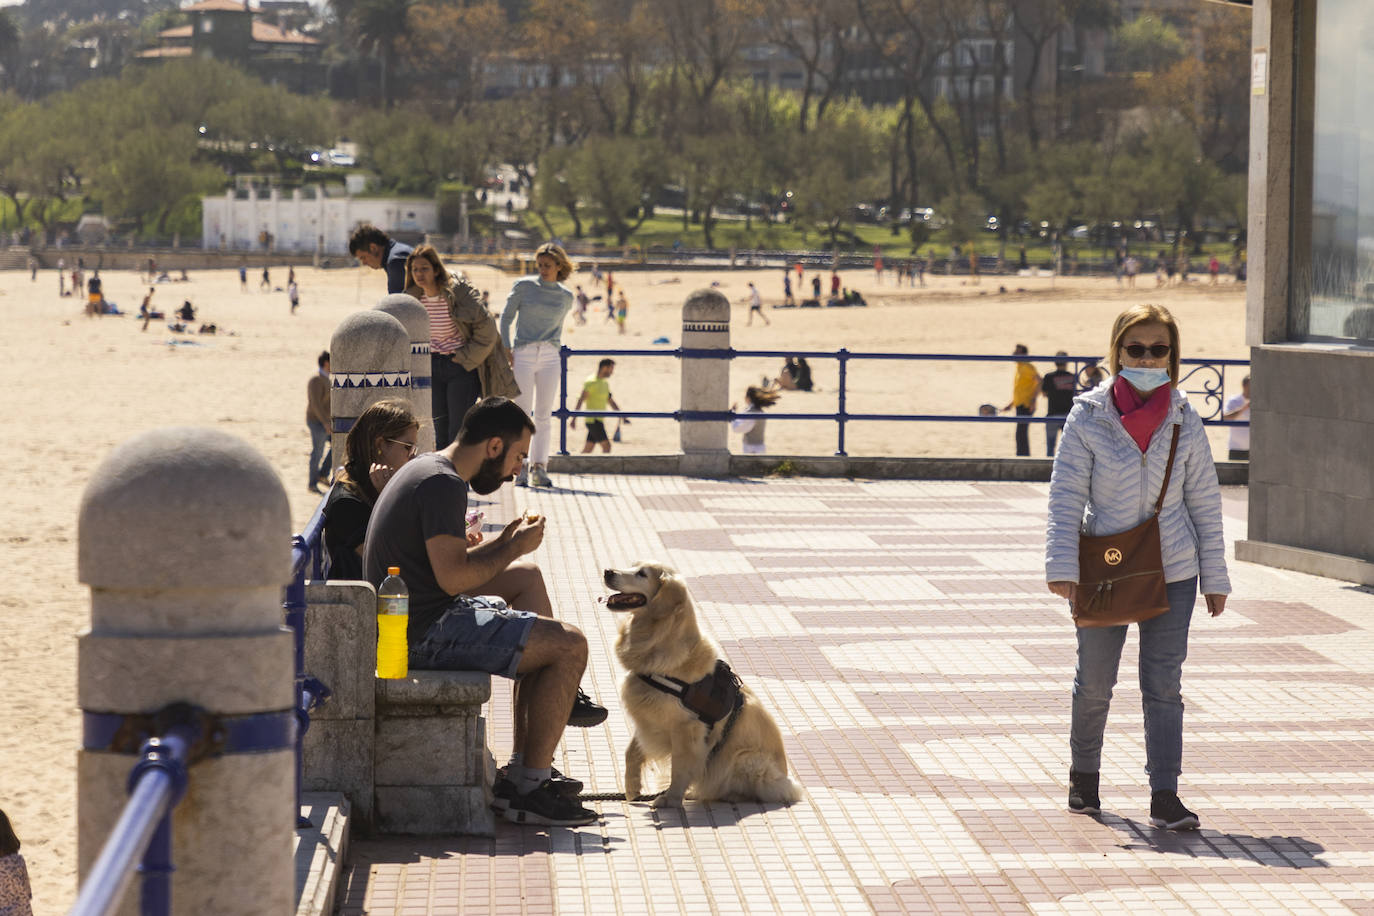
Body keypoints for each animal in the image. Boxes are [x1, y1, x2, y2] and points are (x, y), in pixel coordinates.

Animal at [604, 560, 802, 807]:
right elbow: (631, 752)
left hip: (747, 759)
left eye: (642, 574)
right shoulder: (648, 718)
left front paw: (670, 798)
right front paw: (632, 788)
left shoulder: (687, 729)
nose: (607, 572)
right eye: (632, 565)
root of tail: (787, 781)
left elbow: (680, 768)